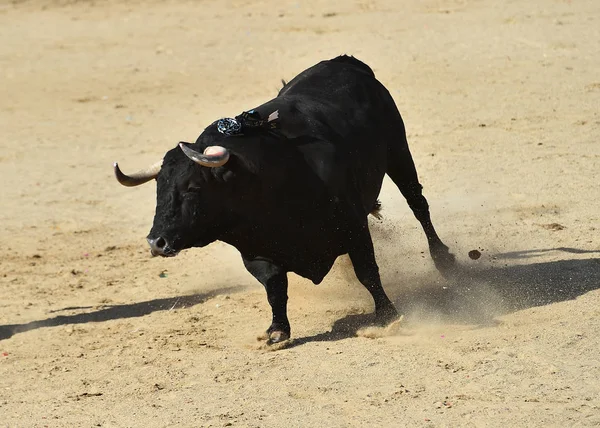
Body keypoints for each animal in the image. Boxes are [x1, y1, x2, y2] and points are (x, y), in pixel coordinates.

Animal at [113, 56, 454, 344]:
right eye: (159, 188)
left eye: (192, 188)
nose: (156, 242)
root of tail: (347, 61)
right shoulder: (254, 251)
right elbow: (274, 286)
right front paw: (277, 331)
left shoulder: (354, 228)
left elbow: (367, 272)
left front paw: (387, 316)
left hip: (398, 150)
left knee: (418, 204)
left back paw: (444, 260)